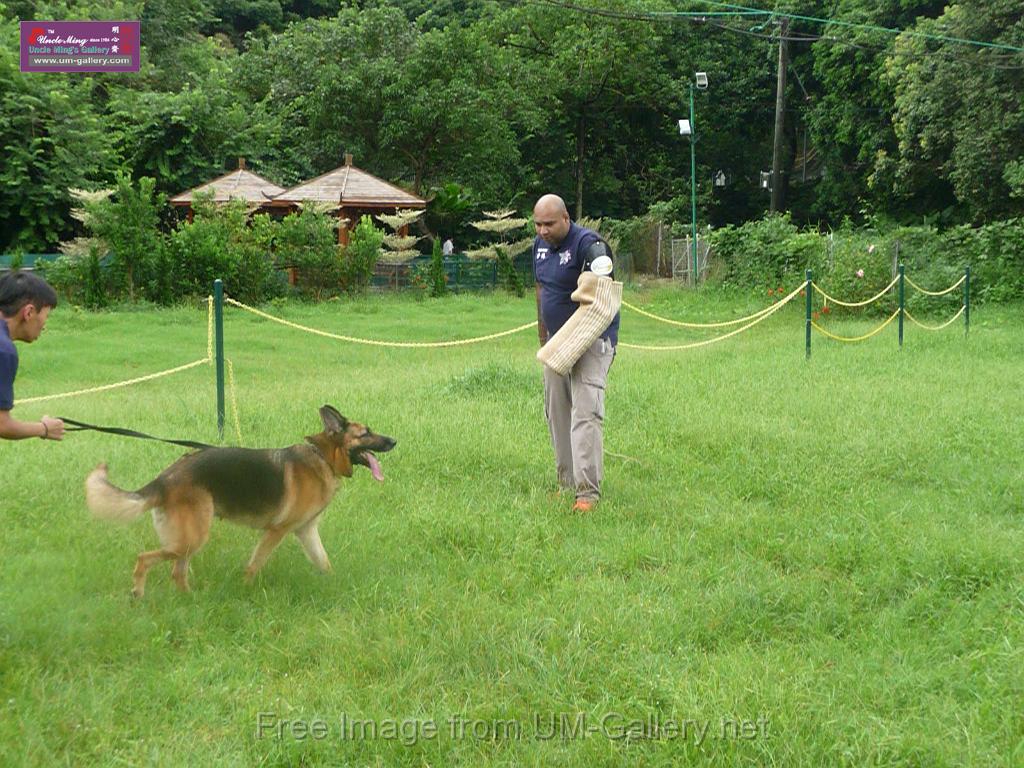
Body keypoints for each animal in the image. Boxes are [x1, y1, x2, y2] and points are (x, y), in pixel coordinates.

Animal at [86, 405, 395, 598]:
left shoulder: (306, 531)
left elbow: (324, 562)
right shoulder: (277, 531)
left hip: (188, 540)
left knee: (177, 573)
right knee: (145, 559)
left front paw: (335, 585)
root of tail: (164, 478)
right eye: (365, 433)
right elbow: (254, 565)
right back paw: (138, 592)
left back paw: (191, 600)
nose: (394, 441)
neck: (322, 457)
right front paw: (246, 589)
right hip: (191, 539)